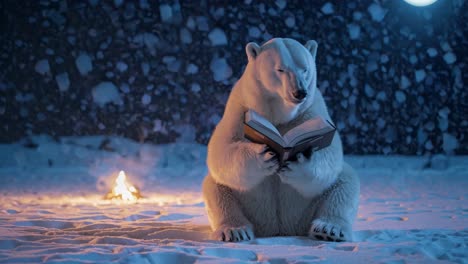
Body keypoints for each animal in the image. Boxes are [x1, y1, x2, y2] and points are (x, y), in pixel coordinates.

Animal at [203, 38, 360, 242]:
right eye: (280, 69)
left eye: (304, 68)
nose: (299, 92)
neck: (279, 115)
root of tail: (280, 228)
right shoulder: (240, 107)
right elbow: (221, 149)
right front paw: (262, 156)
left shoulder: (311, 110)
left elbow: (331, 153)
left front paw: (298, 163)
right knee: (217, 189)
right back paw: (235, 230)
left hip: (309, 206)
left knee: (344, 183)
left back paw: (328, 229)